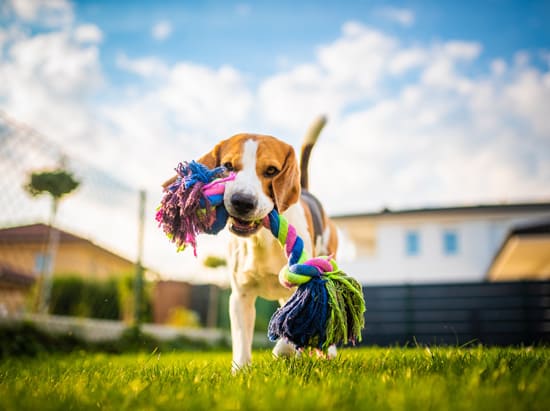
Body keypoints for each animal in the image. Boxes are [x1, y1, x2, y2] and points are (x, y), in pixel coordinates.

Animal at [167, 117, 336, 372]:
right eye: (228, 166)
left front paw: (282, 351)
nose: (242, 201)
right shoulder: (240, 296)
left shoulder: (302, 288)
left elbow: (289, 330)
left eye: (272, 170)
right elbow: (241, 341)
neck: (261, 240)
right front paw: (240, 371)